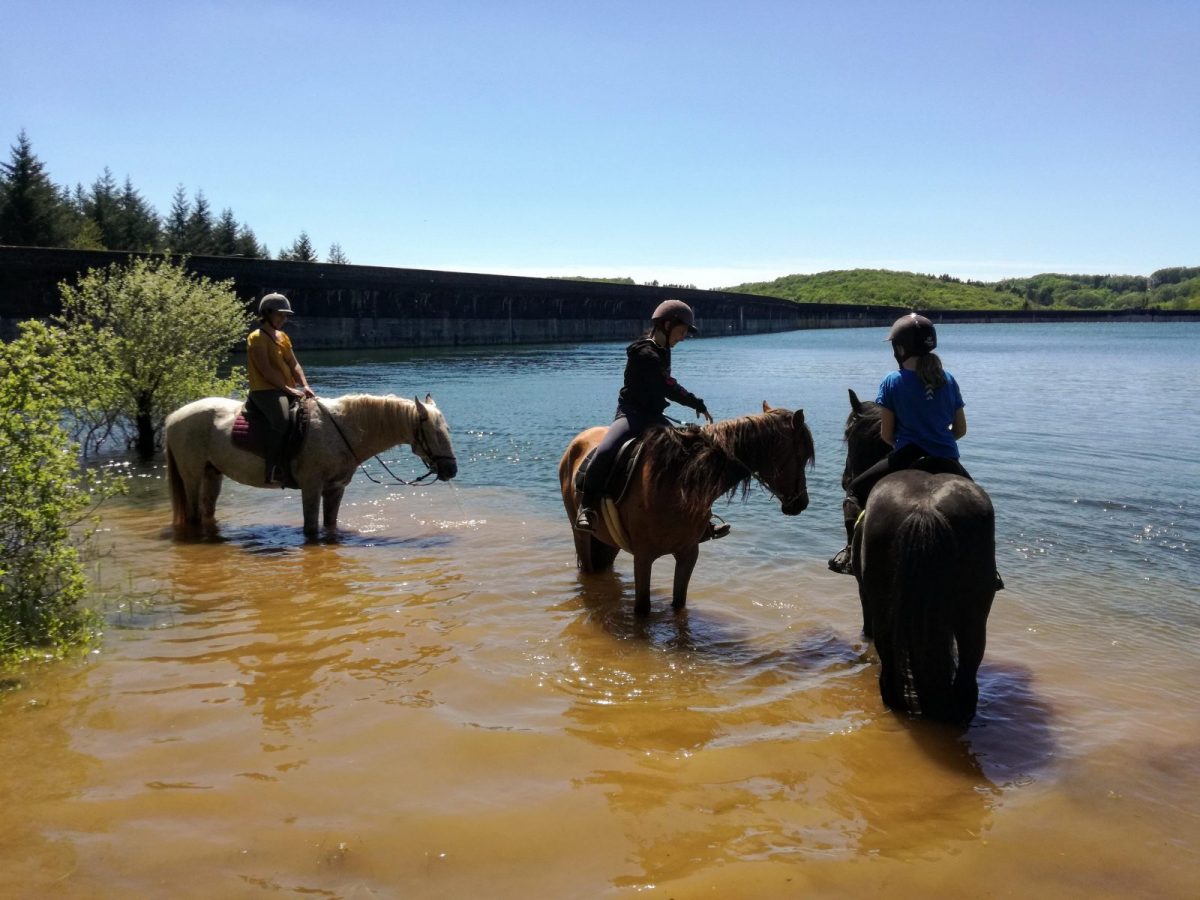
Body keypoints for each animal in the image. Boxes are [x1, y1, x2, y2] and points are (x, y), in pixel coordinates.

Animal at [164, 393, 453, 535]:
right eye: (435, 433)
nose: (452, 470)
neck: (343, 428)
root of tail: (172, 418)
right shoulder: (312, 487)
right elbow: (311, 528)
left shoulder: (335, 488)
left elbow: (330, 525)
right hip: (192, 475)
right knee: (193, 515)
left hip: (212, 474)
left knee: (207, 511)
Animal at [561, 405, 816, 619]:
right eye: (802, 455)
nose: (801, 503)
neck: (678, 481)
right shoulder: (643, 558)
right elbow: (642, 610)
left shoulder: (688, 554)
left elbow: (679, 605)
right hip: (581, 535)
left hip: (609, 541)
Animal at [840, 388, 998, 724]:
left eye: (848, 435)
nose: (846, 478)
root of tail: (925, 510)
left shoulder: (863, 592)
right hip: (974, 613)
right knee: (968, 675)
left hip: (885, 607)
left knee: (889, 674)